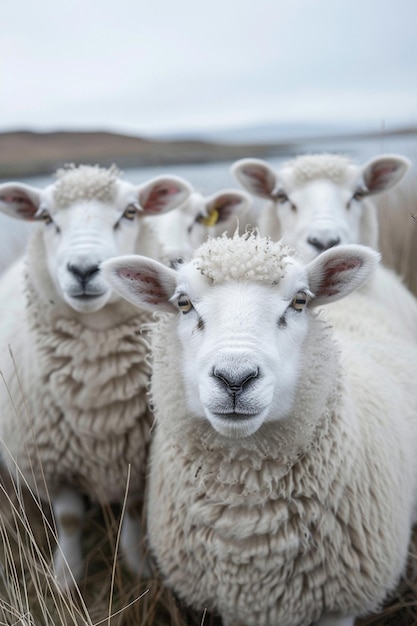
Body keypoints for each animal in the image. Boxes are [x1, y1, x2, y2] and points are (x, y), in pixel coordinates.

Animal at [0, 163, 193, 588]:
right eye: (45, 217)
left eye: (131, 212)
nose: (85, 269)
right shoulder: (51, 466)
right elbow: (70, 519)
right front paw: (65, 577)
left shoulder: (137, 461)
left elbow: (134, 512)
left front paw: (138, 568)